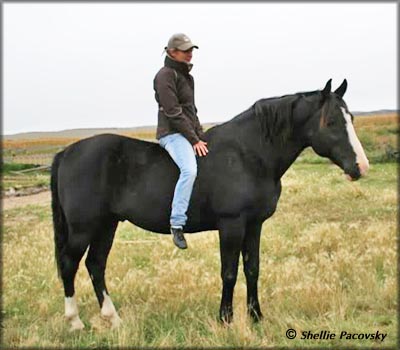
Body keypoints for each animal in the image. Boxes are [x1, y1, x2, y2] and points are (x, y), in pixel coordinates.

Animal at [50, 78, 368, 328]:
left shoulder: (254, 225)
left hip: (107, 225)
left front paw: (256, 317)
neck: (248, 154)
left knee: (95, 265)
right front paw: (225, 319)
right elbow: (229, 272)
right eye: (331, 121)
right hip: (83, 229)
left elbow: (252, 269)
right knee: (69, 265)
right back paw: (75, 322)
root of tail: (67, 153)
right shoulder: (231, 225)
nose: (361, 167)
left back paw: (113, 319)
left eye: (351, 118)